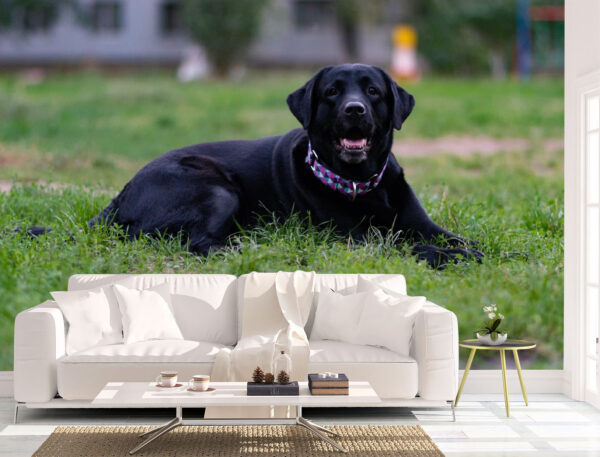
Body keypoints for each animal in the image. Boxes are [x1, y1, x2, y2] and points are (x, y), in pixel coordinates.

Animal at [38, 64, 482, 268]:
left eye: (373, 91)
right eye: (332, 93)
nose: (354, 110)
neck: (361, 183)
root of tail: (121, 194)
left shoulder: (421, 222)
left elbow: (452, 237)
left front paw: (477, 250)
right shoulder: (353, 239)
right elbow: (401, 244)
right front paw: (451, 257)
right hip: (216, 187)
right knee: (193, 242)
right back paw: (246, 245)